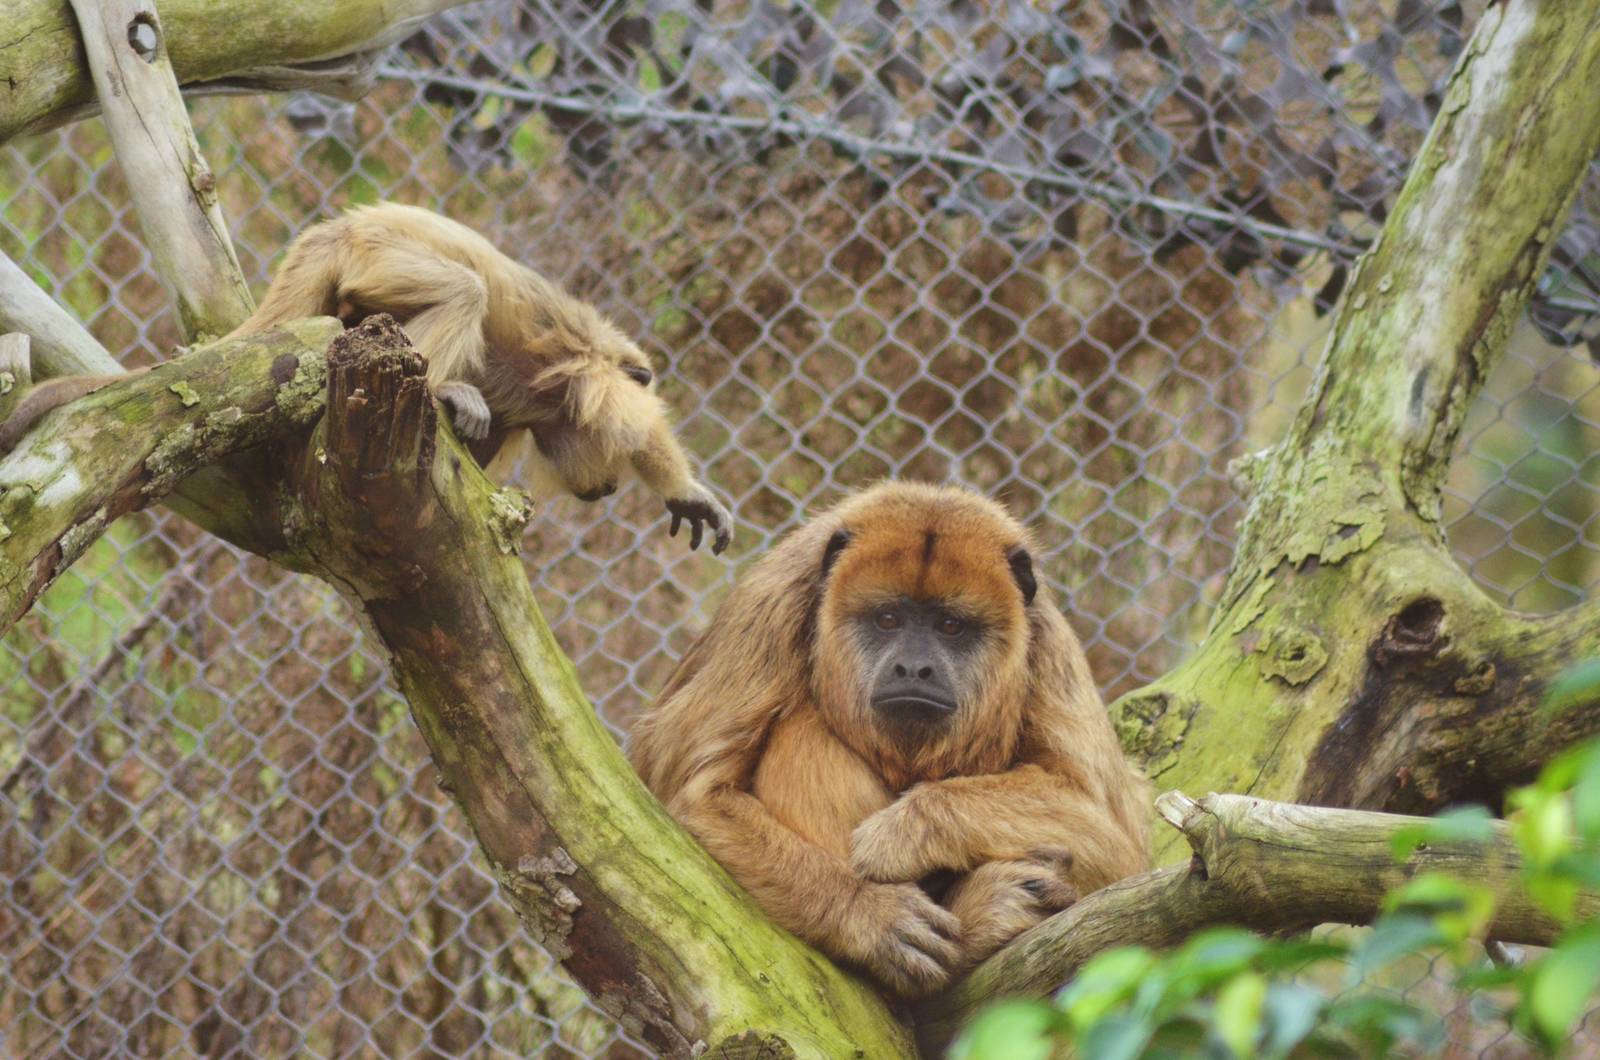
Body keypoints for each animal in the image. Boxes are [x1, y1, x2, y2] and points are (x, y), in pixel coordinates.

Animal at [0, 203, 732, 553]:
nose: (605, 492)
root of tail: (338, 229)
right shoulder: (588, 368)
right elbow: (633, 421)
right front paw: (688, 491)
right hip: (380, 257)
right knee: (464, 289)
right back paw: (439, 388)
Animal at [629, 481, 1150, 997]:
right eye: (888, 619)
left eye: (950, 626)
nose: (913, 668)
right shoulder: (772, 603)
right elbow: (693, 795)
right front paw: (867, 910)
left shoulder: (1047, 640)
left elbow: (1116, 844)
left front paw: (903, 831)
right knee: (803, 733)